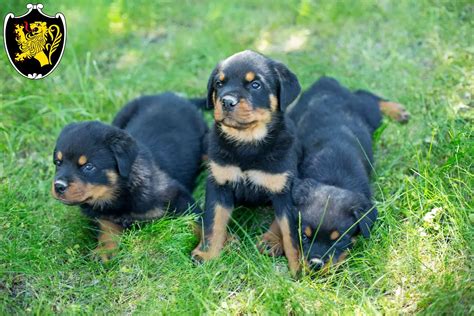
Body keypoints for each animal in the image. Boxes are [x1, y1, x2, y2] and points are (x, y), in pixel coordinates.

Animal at [51, 92, 207, 262]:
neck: (121, 193)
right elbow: (107, 228)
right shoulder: (104, 214)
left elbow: (199, 221)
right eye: (58, 163)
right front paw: (104, 251)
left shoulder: (178, 195)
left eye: (88, 166)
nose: (58, 186)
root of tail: (172, 95)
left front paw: (207, 251)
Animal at [193, 50, 304, 274]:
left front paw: (298, 268)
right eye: (219, 83)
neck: (247, 142)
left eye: (255, 85)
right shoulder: (218, 184)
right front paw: (207, 254)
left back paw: (270, 241)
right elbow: (213, 222)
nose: (226, 101)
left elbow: (290, 234)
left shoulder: (285, 190)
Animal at [284, 77, 410, 272]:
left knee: (366, 96)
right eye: (304, 236)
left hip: (369, 114)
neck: (334, 178)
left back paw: (397, 110)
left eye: (339, 241)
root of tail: (326, 81)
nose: (315, 265)